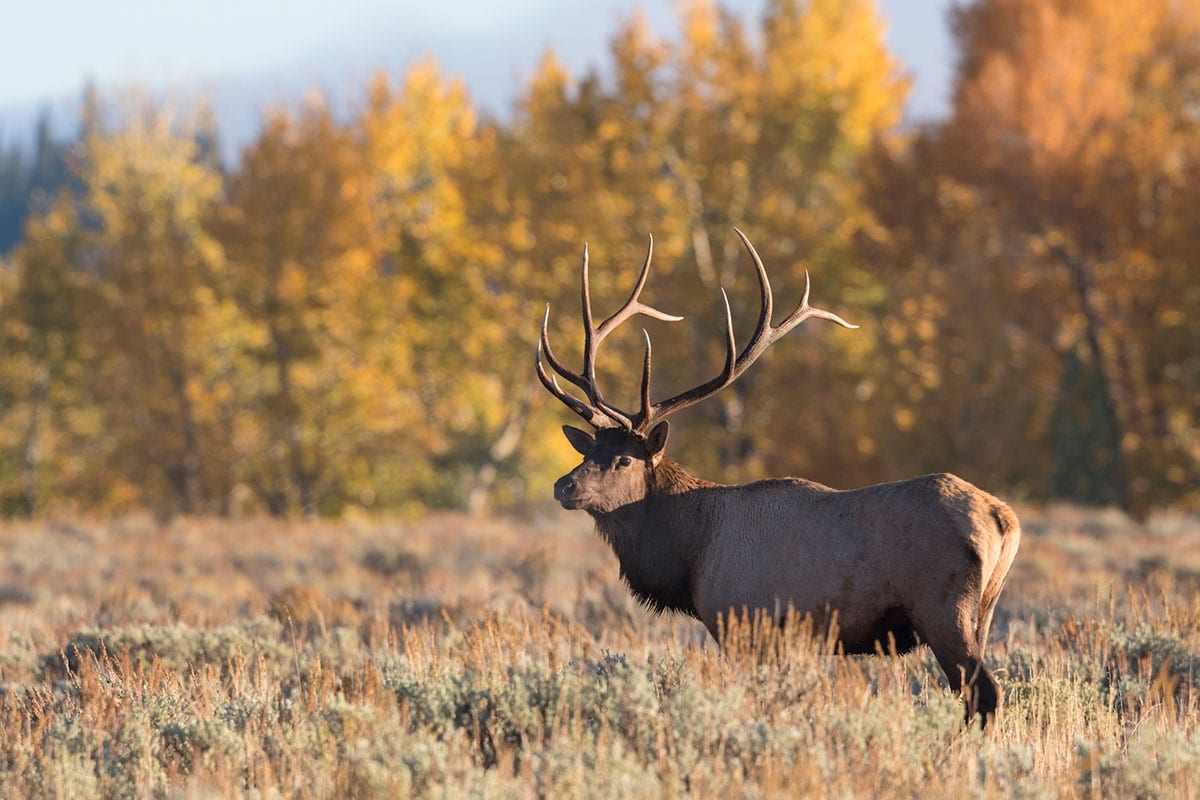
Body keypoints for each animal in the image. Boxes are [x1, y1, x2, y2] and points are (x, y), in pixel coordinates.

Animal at [535, 229, 1021, 728]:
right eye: (589, 450)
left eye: (623, 461)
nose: (563, 486)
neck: (691, 551)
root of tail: (1004, 518)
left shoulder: (747, 623)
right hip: (984, 611)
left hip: (943, 609)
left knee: (984, 691)